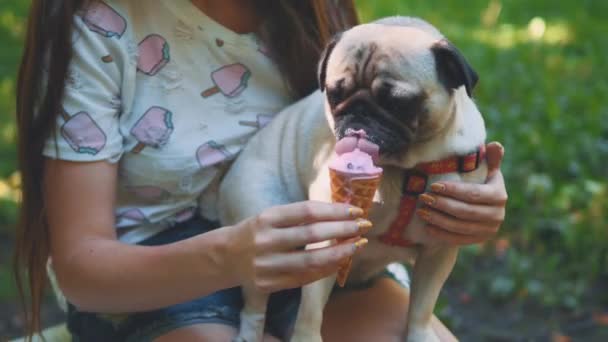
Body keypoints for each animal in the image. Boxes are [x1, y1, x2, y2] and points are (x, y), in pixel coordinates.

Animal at [221, 16, 486, 342]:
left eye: (397, 103)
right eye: (335, 95)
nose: (359, 113)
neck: (404, 170)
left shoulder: (439, 251)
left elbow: (422, 307)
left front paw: (419, 335)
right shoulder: (326, 242)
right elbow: (309, 312)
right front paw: (306, 338)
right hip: (264, 237)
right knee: (255, 303)